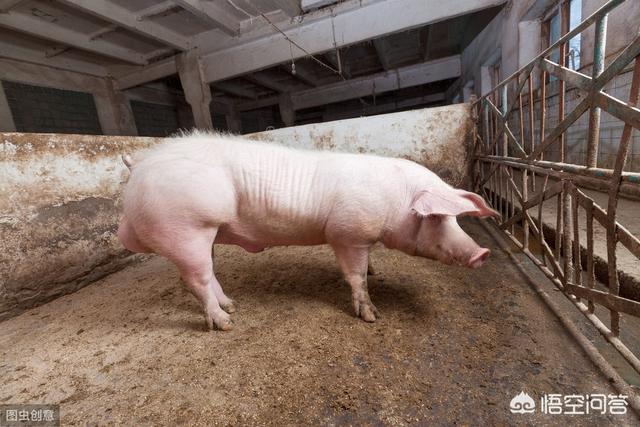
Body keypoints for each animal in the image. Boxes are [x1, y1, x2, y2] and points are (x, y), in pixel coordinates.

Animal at [120, 133, 500, 332]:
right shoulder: (347, 233)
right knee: (196, 280)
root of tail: (140, 169)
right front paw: (372, 316)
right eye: (436, 217)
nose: (482, 253)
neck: (396, 203)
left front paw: (376, 271)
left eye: (455, 219)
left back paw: (233, 306)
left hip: (206, 233)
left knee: (209, 274)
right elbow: (354, 276)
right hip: (186, 229)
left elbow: (366, 268)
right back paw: (225, 323)